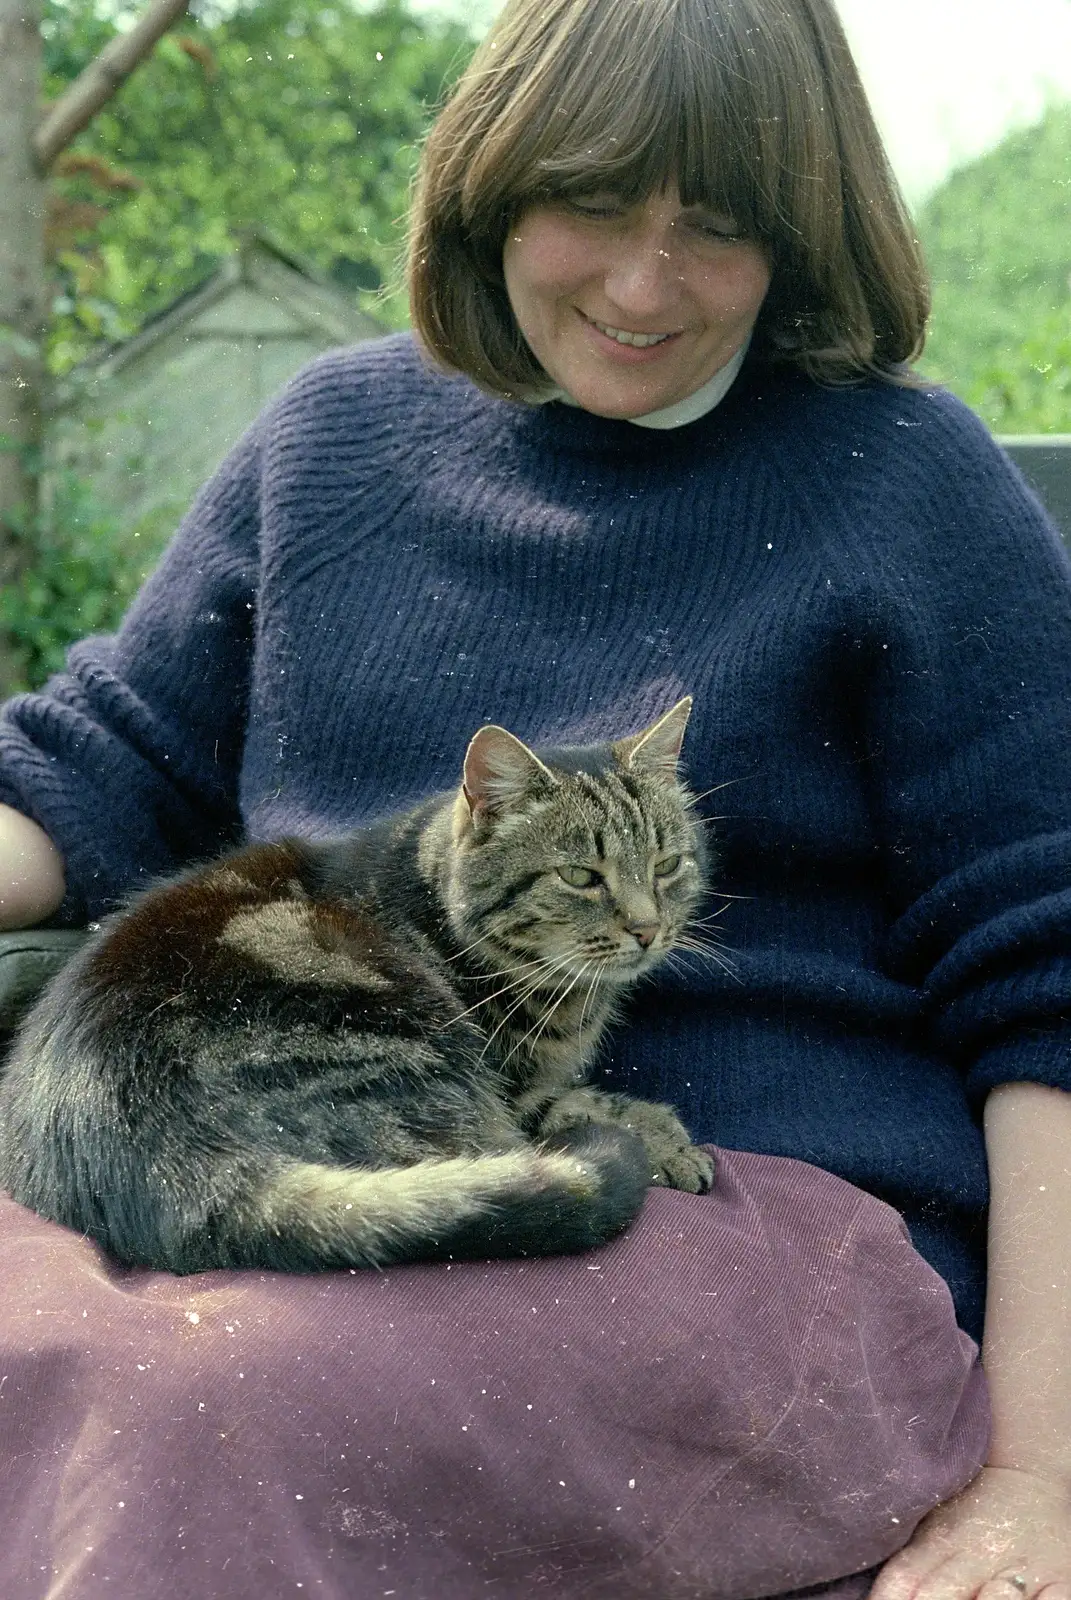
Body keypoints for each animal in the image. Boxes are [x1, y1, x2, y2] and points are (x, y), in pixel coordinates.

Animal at [2, 694, 717, 1267]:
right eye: (580, 877)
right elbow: (579, 1105)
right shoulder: (513, 1092)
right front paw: (667, 1141)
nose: (649, 929)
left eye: (667, 865)